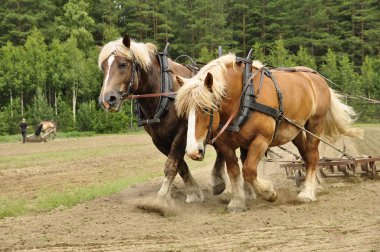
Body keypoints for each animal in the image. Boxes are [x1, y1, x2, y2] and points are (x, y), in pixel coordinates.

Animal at [98, 35, 229, 209]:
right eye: (103, 67)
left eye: (123, 64)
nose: (107, 100)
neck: (164, 92)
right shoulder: (158, 140)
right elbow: (180, 165)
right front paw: (193, 192)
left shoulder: (182, 133)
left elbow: (171, 165)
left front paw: (160, 200)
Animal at [175, 54, 362, 212]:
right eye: (184, 112)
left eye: (205, 109)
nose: (193, 152)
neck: (244, 96)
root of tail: (316, 76)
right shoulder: (226, 145)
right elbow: (234, 172)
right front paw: (237, 202)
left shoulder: (261, 139)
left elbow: (249, 170)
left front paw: (269, 192)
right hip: (296, 130)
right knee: (307, 156)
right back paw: (313, 186)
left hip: (315, 124)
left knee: (314, 156)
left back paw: (307, 193)